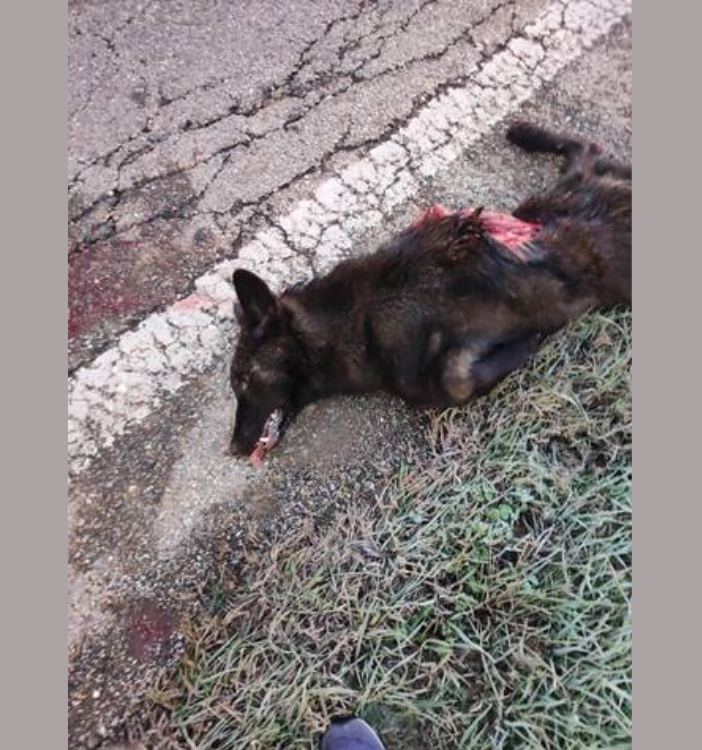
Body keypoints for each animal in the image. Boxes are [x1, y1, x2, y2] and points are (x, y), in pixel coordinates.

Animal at [228, 121, 631, 461]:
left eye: (243, 380)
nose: (232, 449)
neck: (360, 320)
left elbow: (452, 236)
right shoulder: (435, 377)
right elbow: (457, 380)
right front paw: (525, 341)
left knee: (586, 147)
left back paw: (523, 131)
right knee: (588, 149)